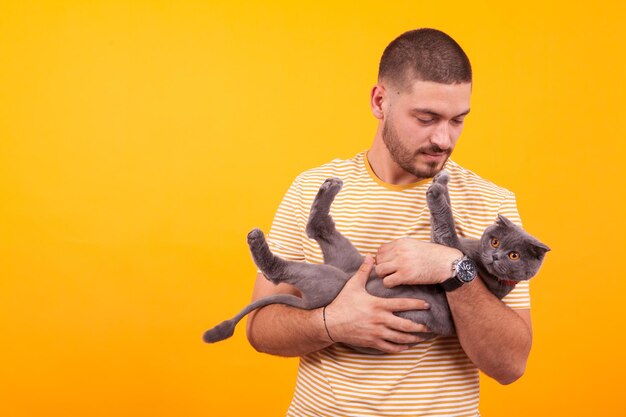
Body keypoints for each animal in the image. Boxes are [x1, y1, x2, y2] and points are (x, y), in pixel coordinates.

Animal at [204, 171, 544, 350]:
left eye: (514, 256)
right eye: (495, 240)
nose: (495, 255)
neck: (476, 256)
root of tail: (305, 302)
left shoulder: (447, 245)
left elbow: (444, 223)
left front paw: (437, 189)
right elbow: (446, 215)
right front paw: (442, 179)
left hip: (331, 281)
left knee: (282, 269)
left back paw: (258, 243)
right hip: (347, 259)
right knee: (318, 228)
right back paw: (329, 187)